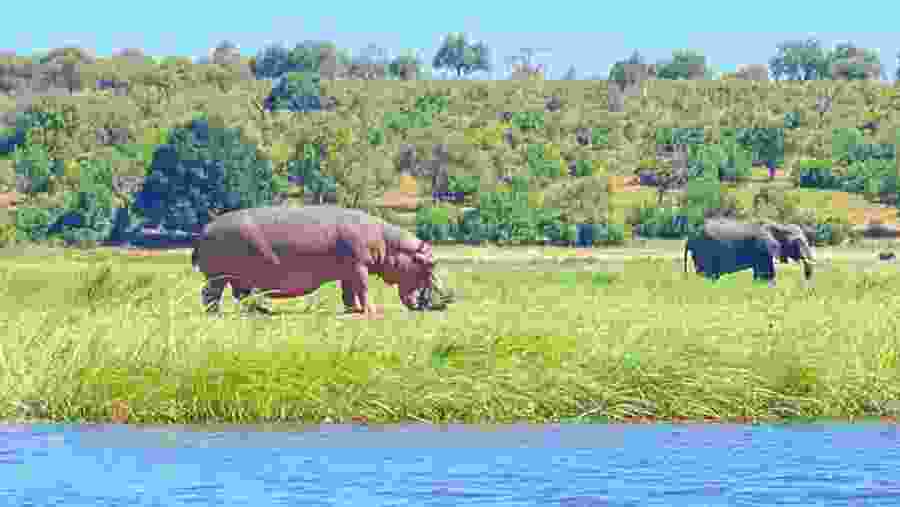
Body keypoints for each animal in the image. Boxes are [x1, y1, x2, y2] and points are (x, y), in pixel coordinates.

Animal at [191, 205, 454, 317]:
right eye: (430, 265)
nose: (444, 302)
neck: (390, 245)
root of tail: (204, 230)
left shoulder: (349, 270)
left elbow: (350, 292)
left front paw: (353, 311)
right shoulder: (359, 266)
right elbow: (364, 288)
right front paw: (370, 311)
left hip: (238, 276)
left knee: (241, 295)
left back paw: (262, 311)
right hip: (220, 276)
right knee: (211, 294)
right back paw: (216, 314)